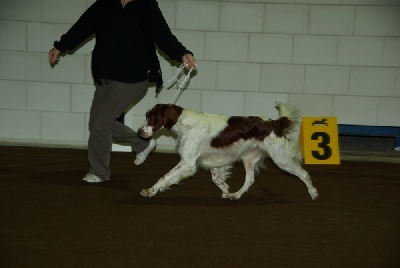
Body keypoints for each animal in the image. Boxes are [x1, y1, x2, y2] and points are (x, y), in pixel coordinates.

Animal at [138, 102, 318, 201]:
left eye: (152, 118)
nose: (140, 132)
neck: (185, 124)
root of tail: (275, 123)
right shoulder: (213, 160)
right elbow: (217, 179)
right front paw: (226, 190)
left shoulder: (188, 163)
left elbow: (164, 177)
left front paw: (150, 191)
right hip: (249, 158)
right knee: (250, 180)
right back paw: (236, 195)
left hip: (281, 159)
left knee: (304, 173)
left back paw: (313, 193)